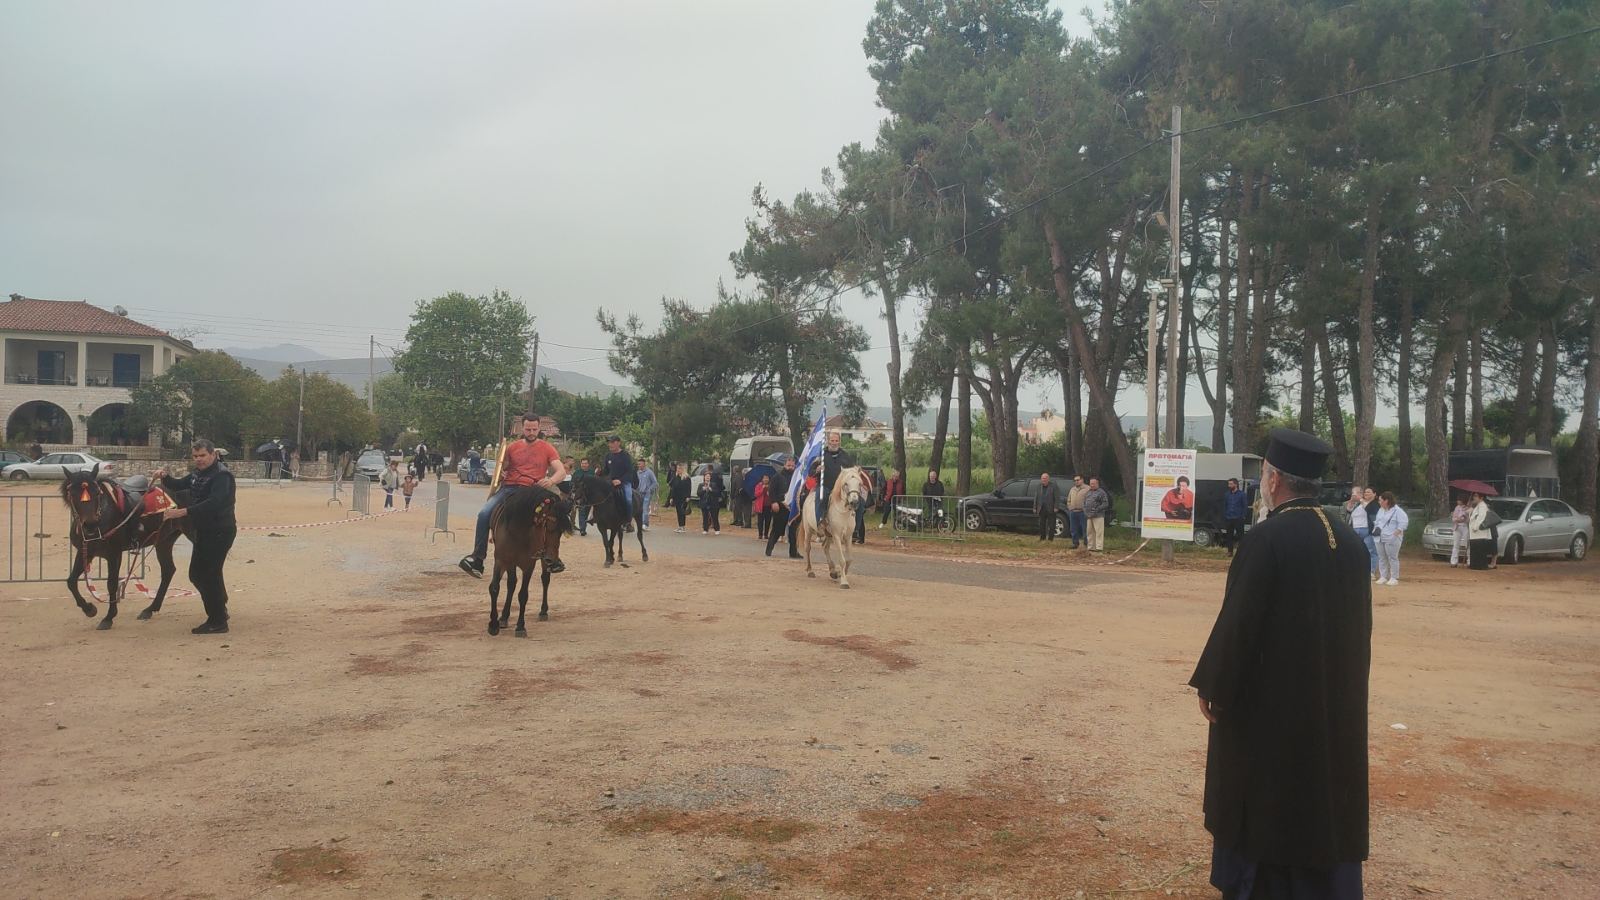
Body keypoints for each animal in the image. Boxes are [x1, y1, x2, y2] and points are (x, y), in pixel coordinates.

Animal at [61, 465, 194, 630]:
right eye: (72, 493)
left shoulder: (114, 554)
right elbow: (71, 581)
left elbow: (111, 584)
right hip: (164, 541)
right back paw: (150, 609)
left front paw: (108, 617)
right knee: (168, 570)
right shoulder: (85, 552)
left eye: (97, 492)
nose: (90, 525)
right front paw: (89, 609)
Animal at [487, 486, 572, 636]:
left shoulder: (528, 565)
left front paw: (520, 626)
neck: (517, 531)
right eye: (549, 526)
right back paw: (504, 617)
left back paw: (543, 611)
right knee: (511, 584)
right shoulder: (501, 560)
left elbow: (523, 595)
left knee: (545, 579)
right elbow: (495, 587)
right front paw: (493, 624)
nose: (552, 558)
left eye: (561, 531)